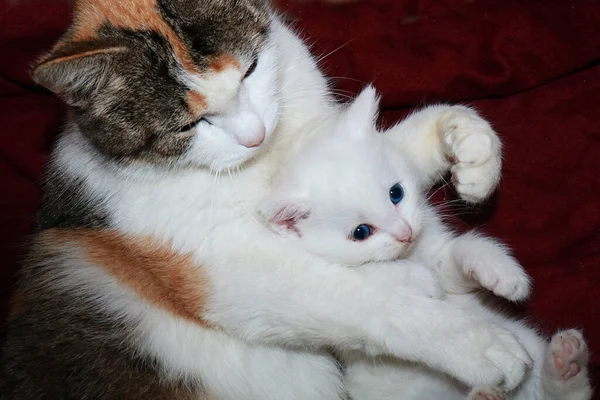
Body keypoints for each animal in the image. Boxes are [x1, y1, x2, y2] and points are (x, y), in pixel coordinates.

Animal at [3, 0, 528, 400]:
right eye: (189, 125)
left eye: (251, 70)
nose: (254, 135)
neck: (261, 163)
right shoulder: (219, 268)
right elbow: (347, 296)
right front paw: (472, 341)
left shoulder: (319, 141)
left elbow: (390, 149)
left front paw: (469, 144)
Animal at [260, 86, 592, 400]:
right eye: (361, 232)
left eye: (396, 193)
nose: (405, 232)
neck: (412, 253)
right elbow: (360, 276)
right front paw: (411, 278)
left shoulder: (441, 260)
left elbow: (458, 254)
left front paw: (500, 271)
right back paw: (492, 392)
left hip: (531, 345)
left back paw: (564, 366)